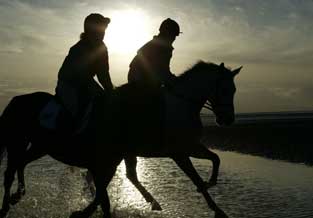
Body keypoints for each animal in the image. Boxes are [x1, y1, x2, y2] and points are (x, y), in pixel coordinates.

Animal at [0, 61, 241, 218]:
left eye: (234, 90)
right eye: (224, 89)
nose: (228, 119)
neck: (181, 105)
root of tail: (16, 100)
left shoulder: (189, 146)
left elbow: (215, 159)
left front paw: (212, 188)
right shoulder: (178, 152)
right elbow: (196, 178)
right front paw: (217, 208)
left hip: (40, 145)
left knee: (21, 163)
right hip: (19, 141)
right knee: (12, 169)